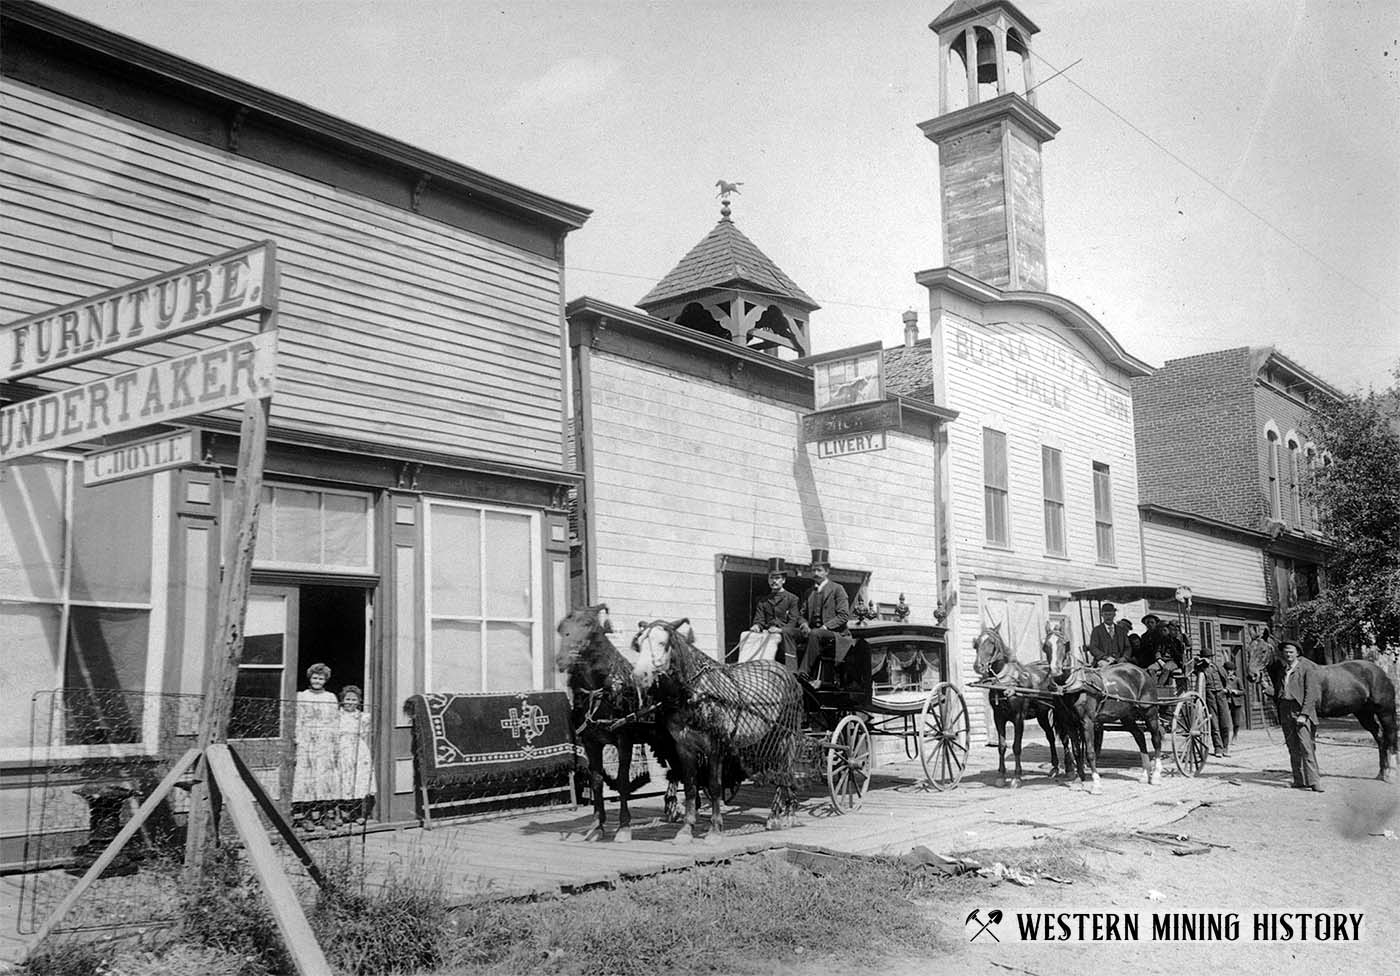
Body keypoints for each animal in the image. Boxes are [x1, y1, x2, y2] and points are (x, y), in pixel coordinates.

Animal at [551, 602, 677, 840]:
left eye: (588, 624)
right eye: (561, 627)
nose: (562, 660)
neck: (600, 693)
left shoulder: (623, 740)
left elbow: (622, 780)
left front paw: (624, 827)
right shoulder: (591, 743)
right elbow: (597, 781)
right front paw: (596, 826)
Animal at [635, 621, 812, 840]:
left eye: (662, 643)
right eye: (640, 644)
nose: (639, 675)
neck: (697, 693)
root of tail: (789, 675)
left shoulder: (715, 747)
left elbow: (714, 785)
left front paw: (714, 829)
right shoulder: (684, 748)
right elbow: (690, 786)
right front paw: (686, 828)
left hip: (786, 735)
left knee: (785, 771)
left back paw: (779, 816)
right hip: (768, 739)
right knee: (781, 770)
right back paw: (786, 811)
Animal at [980, 624, 1064, 784]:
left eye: (992, 643)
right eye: (976, 643)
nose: (979, 666)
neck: (1006, 683)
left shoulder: (1018, 718)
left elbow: (1017, 746)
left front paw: (1017, 777)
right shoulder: (998, 717)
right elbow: (1002, 746)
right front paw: (1001, 776)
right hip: (1041, 714)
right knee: (1050, 736)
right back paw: (1055, 767)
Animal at [1254, 635, 1394, 778]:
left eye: (1264, 650)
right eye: (1249, 650)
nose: (1252, 675)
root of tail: (1381, 672)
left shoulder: (1309, 719)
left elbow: (1310, 746)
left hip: (1385, 712)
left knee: (1390, 735)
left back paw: (1389, 773)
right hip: (1364, 714)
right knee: (1380, 736)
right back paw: (1382, 773)